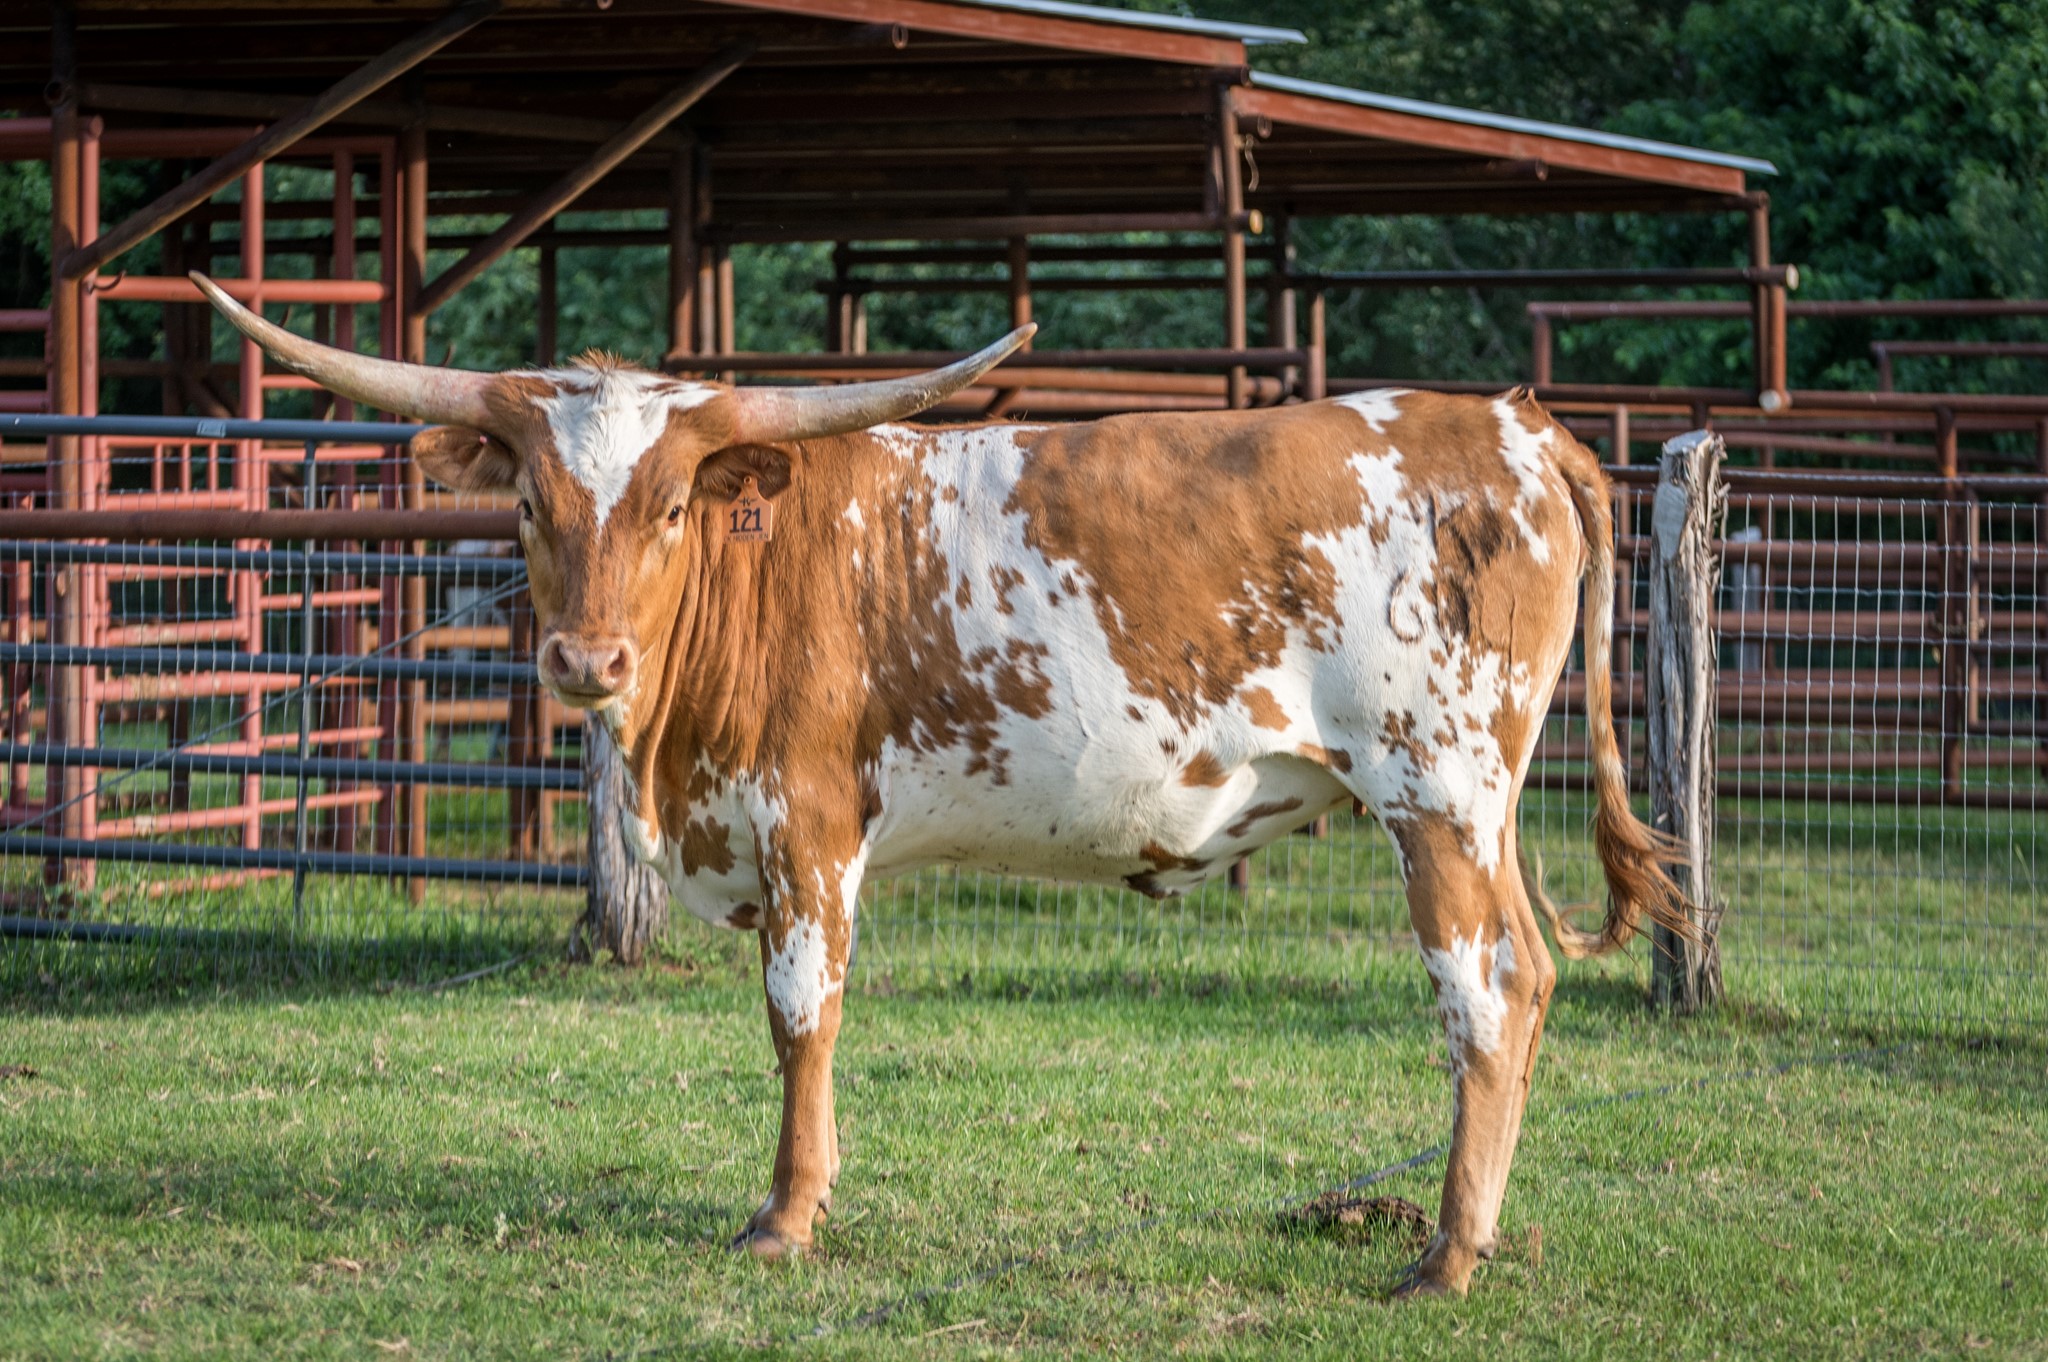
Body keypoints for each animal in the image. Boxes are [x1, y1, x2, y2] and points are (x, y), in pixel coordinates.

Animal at [194, 271, 1685, 1298]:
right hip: (1479, 802)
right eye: (523, 506)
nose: (585, 657)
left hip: (1437, 785)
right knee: (1529, 975)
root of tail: (1512, 425)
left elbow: (802, 1016)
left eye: (671, 505)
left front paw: (785, 1215)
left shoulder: (805, 825)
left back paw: (1444, 1258)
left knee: (1487, 989)